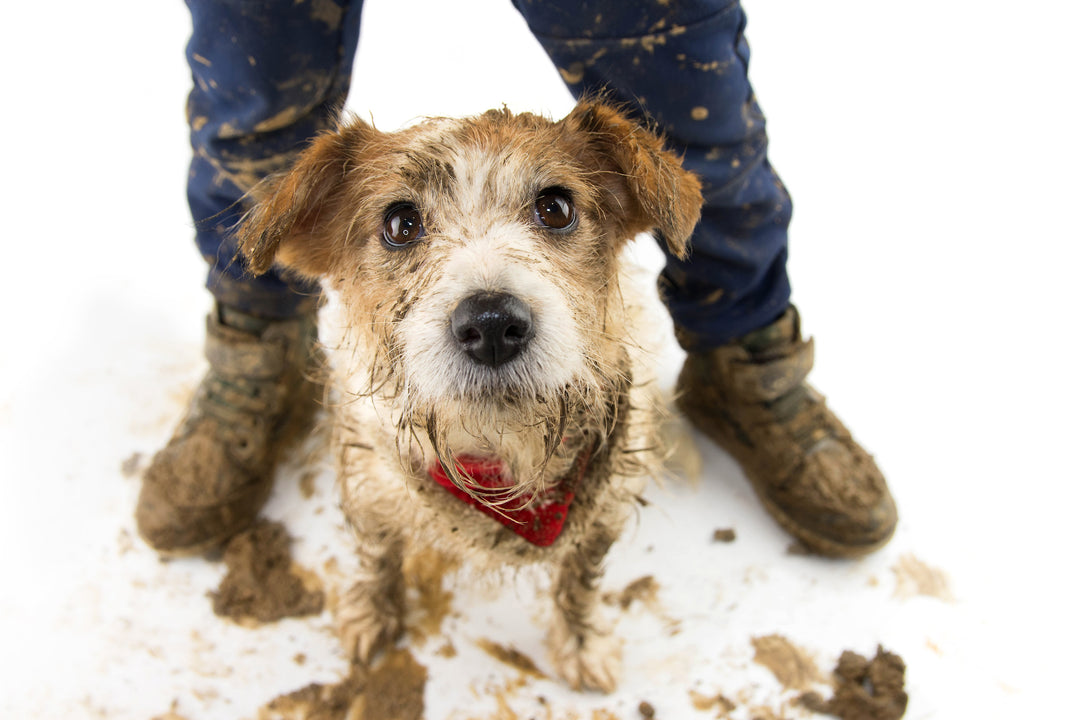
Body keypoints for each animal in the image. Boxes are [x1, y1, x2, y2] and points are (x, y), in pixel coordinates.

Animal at [238, 101, 699, 690]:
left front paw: (581, 643)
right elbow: (377, 556)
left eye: (556, 208)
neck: (499, 456)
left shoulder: (603, 514)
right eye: (400, 224)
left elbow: (579, 580)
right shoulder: (369, 481)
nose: (493, 324)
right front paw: (373, 614)